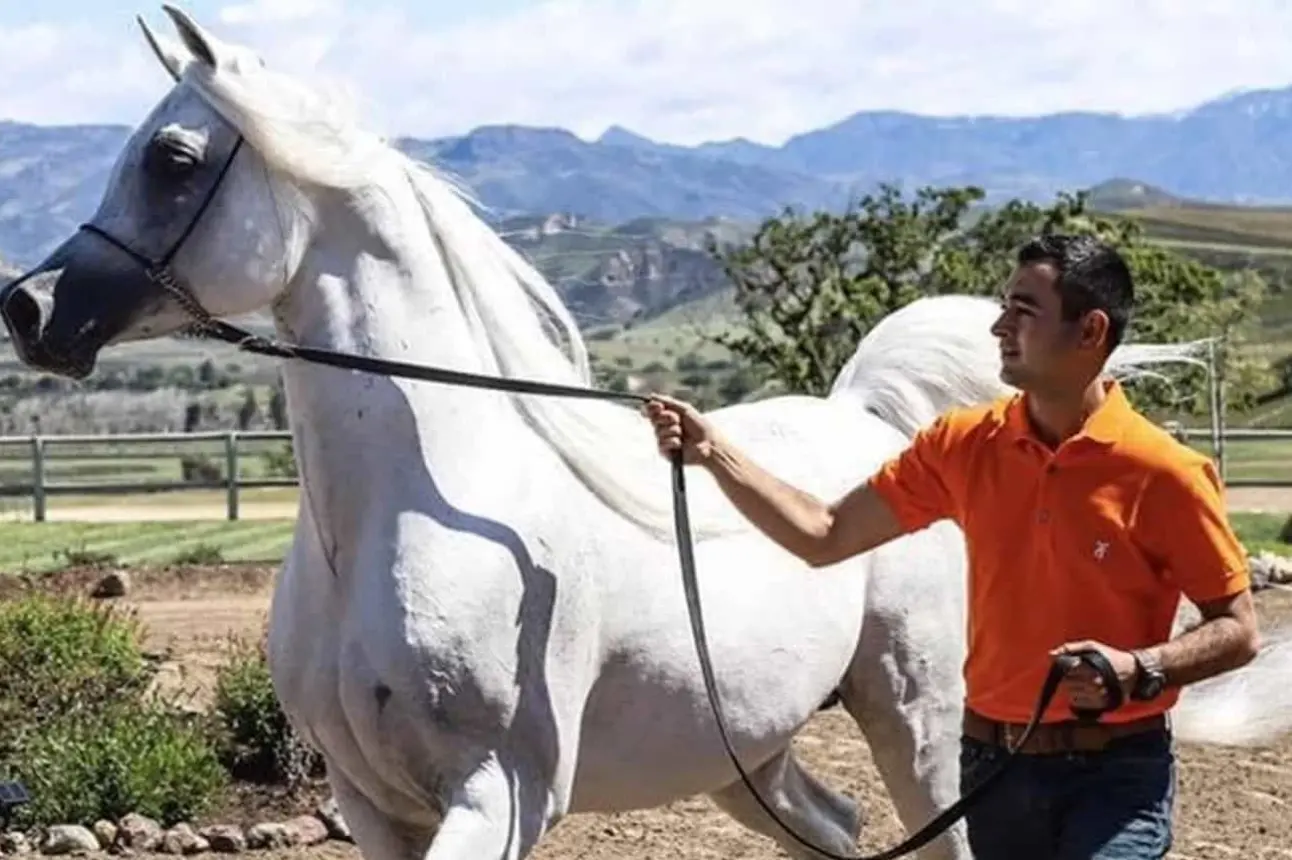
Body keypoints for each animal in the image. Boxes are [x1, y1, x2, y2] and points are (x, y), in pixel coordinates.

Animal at [0, 5, 1286, 852]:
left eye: (172, 158)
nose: (31, 308)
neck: (403, 513)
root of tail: (868, 426)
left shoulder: (496, 792)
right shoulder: (374, 807)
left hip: (915, 719)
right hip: (746, 754)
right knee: (835, 826)